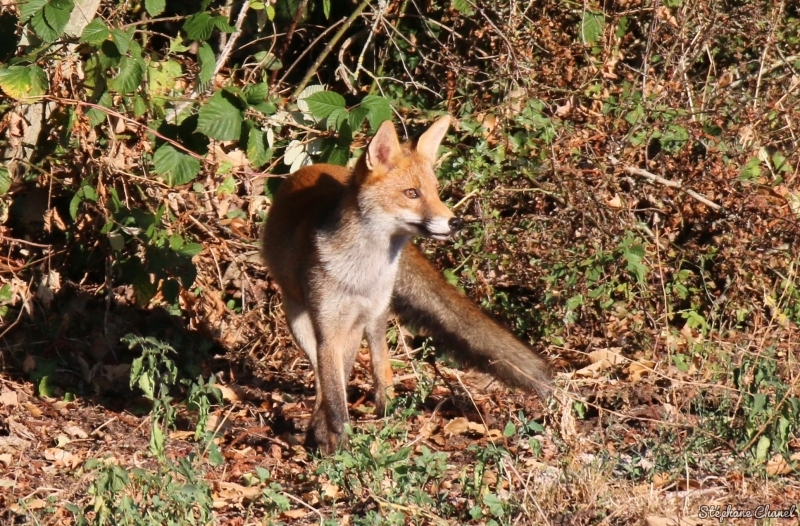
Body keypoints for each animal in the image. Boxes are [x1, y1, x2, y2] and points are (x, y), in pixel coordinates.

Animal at [262, 117, 552, 456]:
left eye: (436, 192)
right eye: (411, 193)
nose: (456, 222)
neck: (361, 272)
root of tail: (318, 166)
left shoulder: (353, 325)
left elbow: (343, 385)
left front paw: (335, 442)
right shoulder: (329, 330)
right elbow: (334, 397)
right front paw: (337, 444)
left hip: (374, 318)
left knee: (379, 365)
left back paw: (382, 409)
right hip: (299, 323)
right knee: (323, 380)